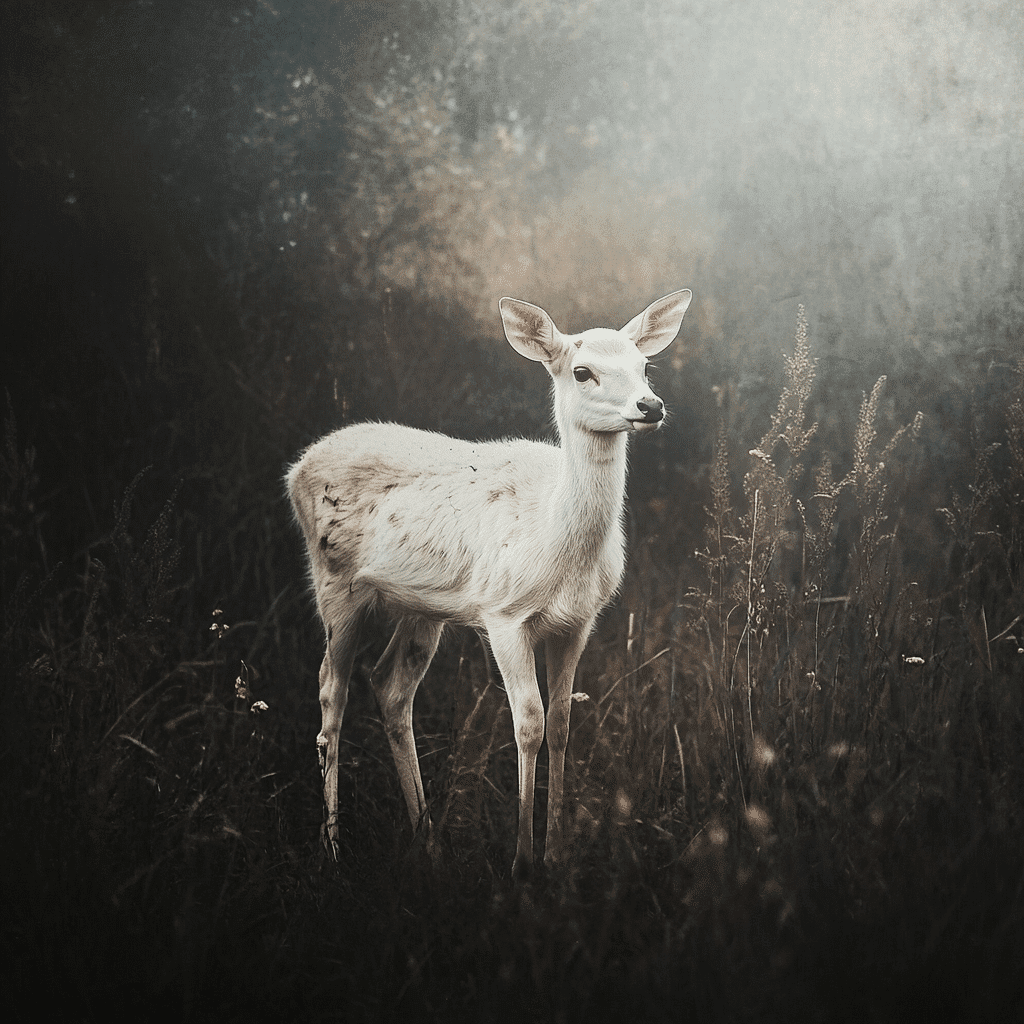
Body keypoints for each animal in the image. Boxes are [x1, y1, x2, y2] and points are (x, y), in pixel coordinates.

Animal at [285, 288, 691, 877]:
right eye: (582, 371)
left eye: (644, 366)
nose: (650, 406)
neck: (553, 537)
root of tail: (296, 469)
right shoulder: (503, 612)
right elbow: (529, 722)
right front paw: (522, 861)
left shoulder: (579, 621)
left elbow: (562, 721)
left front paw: (557, 853)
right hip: (333, 577)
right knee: (329, 691)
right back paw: (333, 848)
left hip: (421, 605)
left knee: (390, 686)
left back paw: (428, 840)